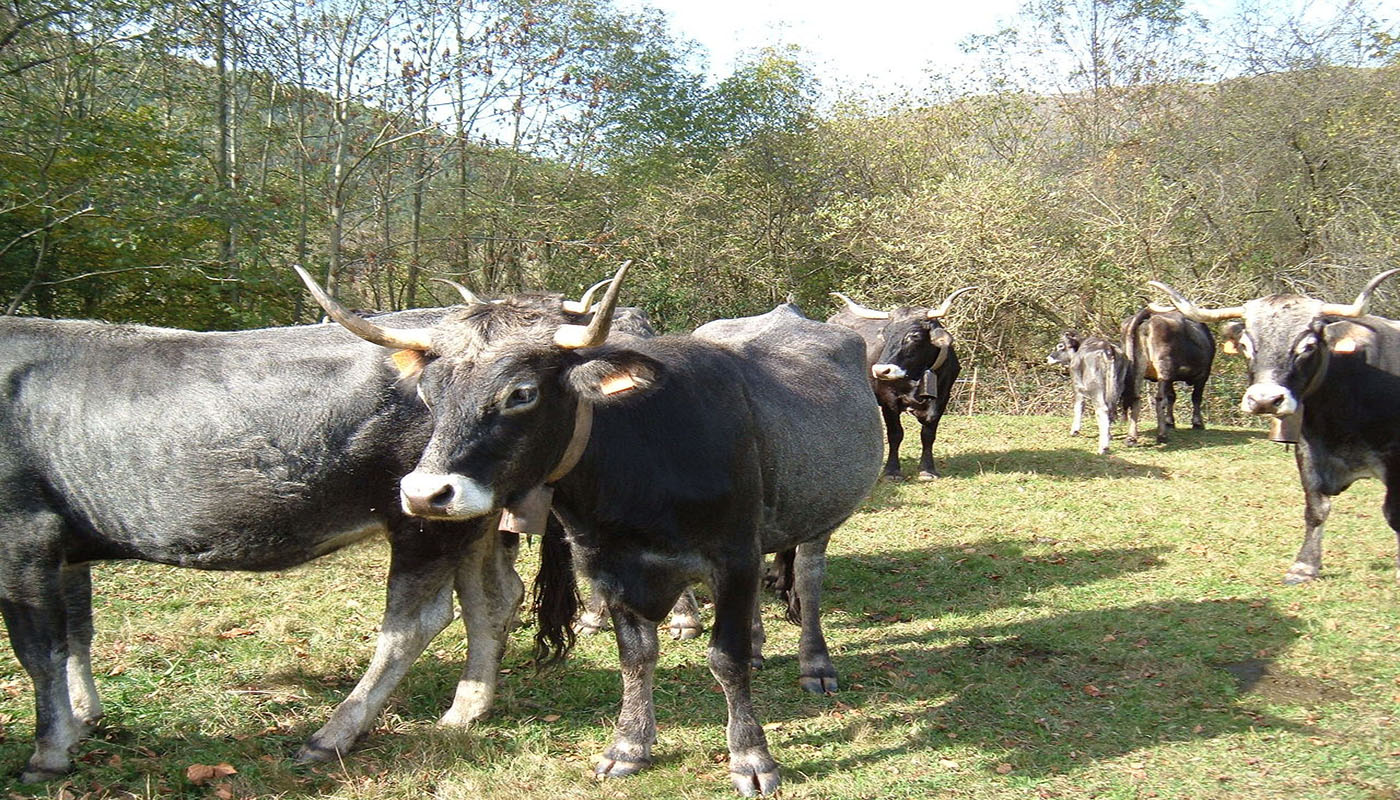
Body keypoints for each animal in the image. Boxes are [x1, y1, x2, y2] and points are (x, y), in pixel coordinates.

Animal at [0, 299, 529, 784]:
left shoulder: (23, 534)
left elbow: (40, 653)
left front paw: (48, 753)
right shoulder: (65, 550)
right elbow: (77, 634)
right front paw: (83, 719)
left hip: (425, 520)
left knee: (415, 622)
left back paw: (332, 735)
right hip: (469, 516)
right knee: (493, 598)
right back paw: (467, 710)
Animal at [308, 263, 879, 795]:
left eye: (521, 392)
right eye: (429, 393)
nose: (426, 495)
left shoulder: (732, 555)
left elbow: (726, 658)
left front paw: (750, 758)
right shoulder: (608, 566)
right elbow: (636, 657)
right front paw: (629, 745)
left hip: (820, 516)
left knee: (808, 578)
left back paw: (815, 664)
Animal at [828, 290, 974, 481]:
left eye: (915, 335)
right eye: (886, 334)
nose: (881, 370)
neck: (916, 377)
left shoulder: (942, 398)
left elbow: (928, 434)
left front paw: (927, 469)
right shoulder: (888, 400)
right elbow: (895, 434)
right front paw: (891, 471)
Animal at [1114, 306, 1215, 445]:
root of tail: (1149, 314)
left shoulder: (1171, 377)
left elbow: (1172, 396)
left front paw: (1170, 421)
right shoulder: (1203, 374)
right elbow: (1196, 397)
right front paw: (1198, 423)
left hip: (1137, 369)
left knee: (1135, 397)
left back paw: (1131, 437)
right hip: (1164, 369)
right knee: (1160, 399)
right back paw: (1161, 435)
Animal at [1148, 271, 1400, 585]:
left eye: (1308, 346)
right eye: (1246, 345)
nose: (1265, 400)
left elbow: (1393, 516)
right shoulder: (1309, 453)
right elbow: (1316, 508)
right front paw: (1304, 566)